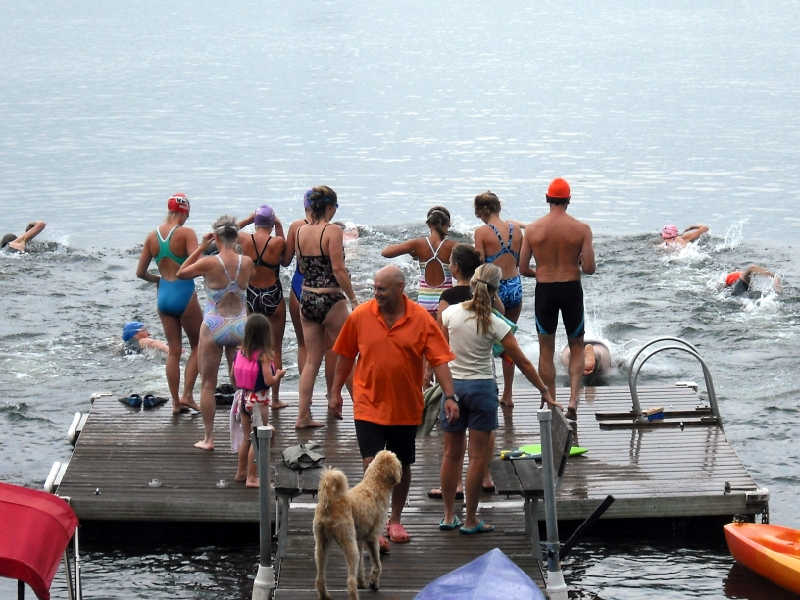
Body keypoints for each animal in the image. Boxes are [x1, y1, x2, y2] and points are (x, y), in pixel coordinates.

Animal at [314, 450, 403, 600]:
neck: (375, 484)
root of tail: (329, 503)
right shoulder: (372, 538)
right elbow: (377, 564)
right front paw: (374, 582)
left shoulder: (360, 541)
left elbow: (361, 566)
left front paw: (362, 582)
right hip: (349, 545)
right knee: (350, 582)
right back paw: (354, 595)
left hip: (321, 546)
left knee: (320, 578)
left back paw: (324, 595)